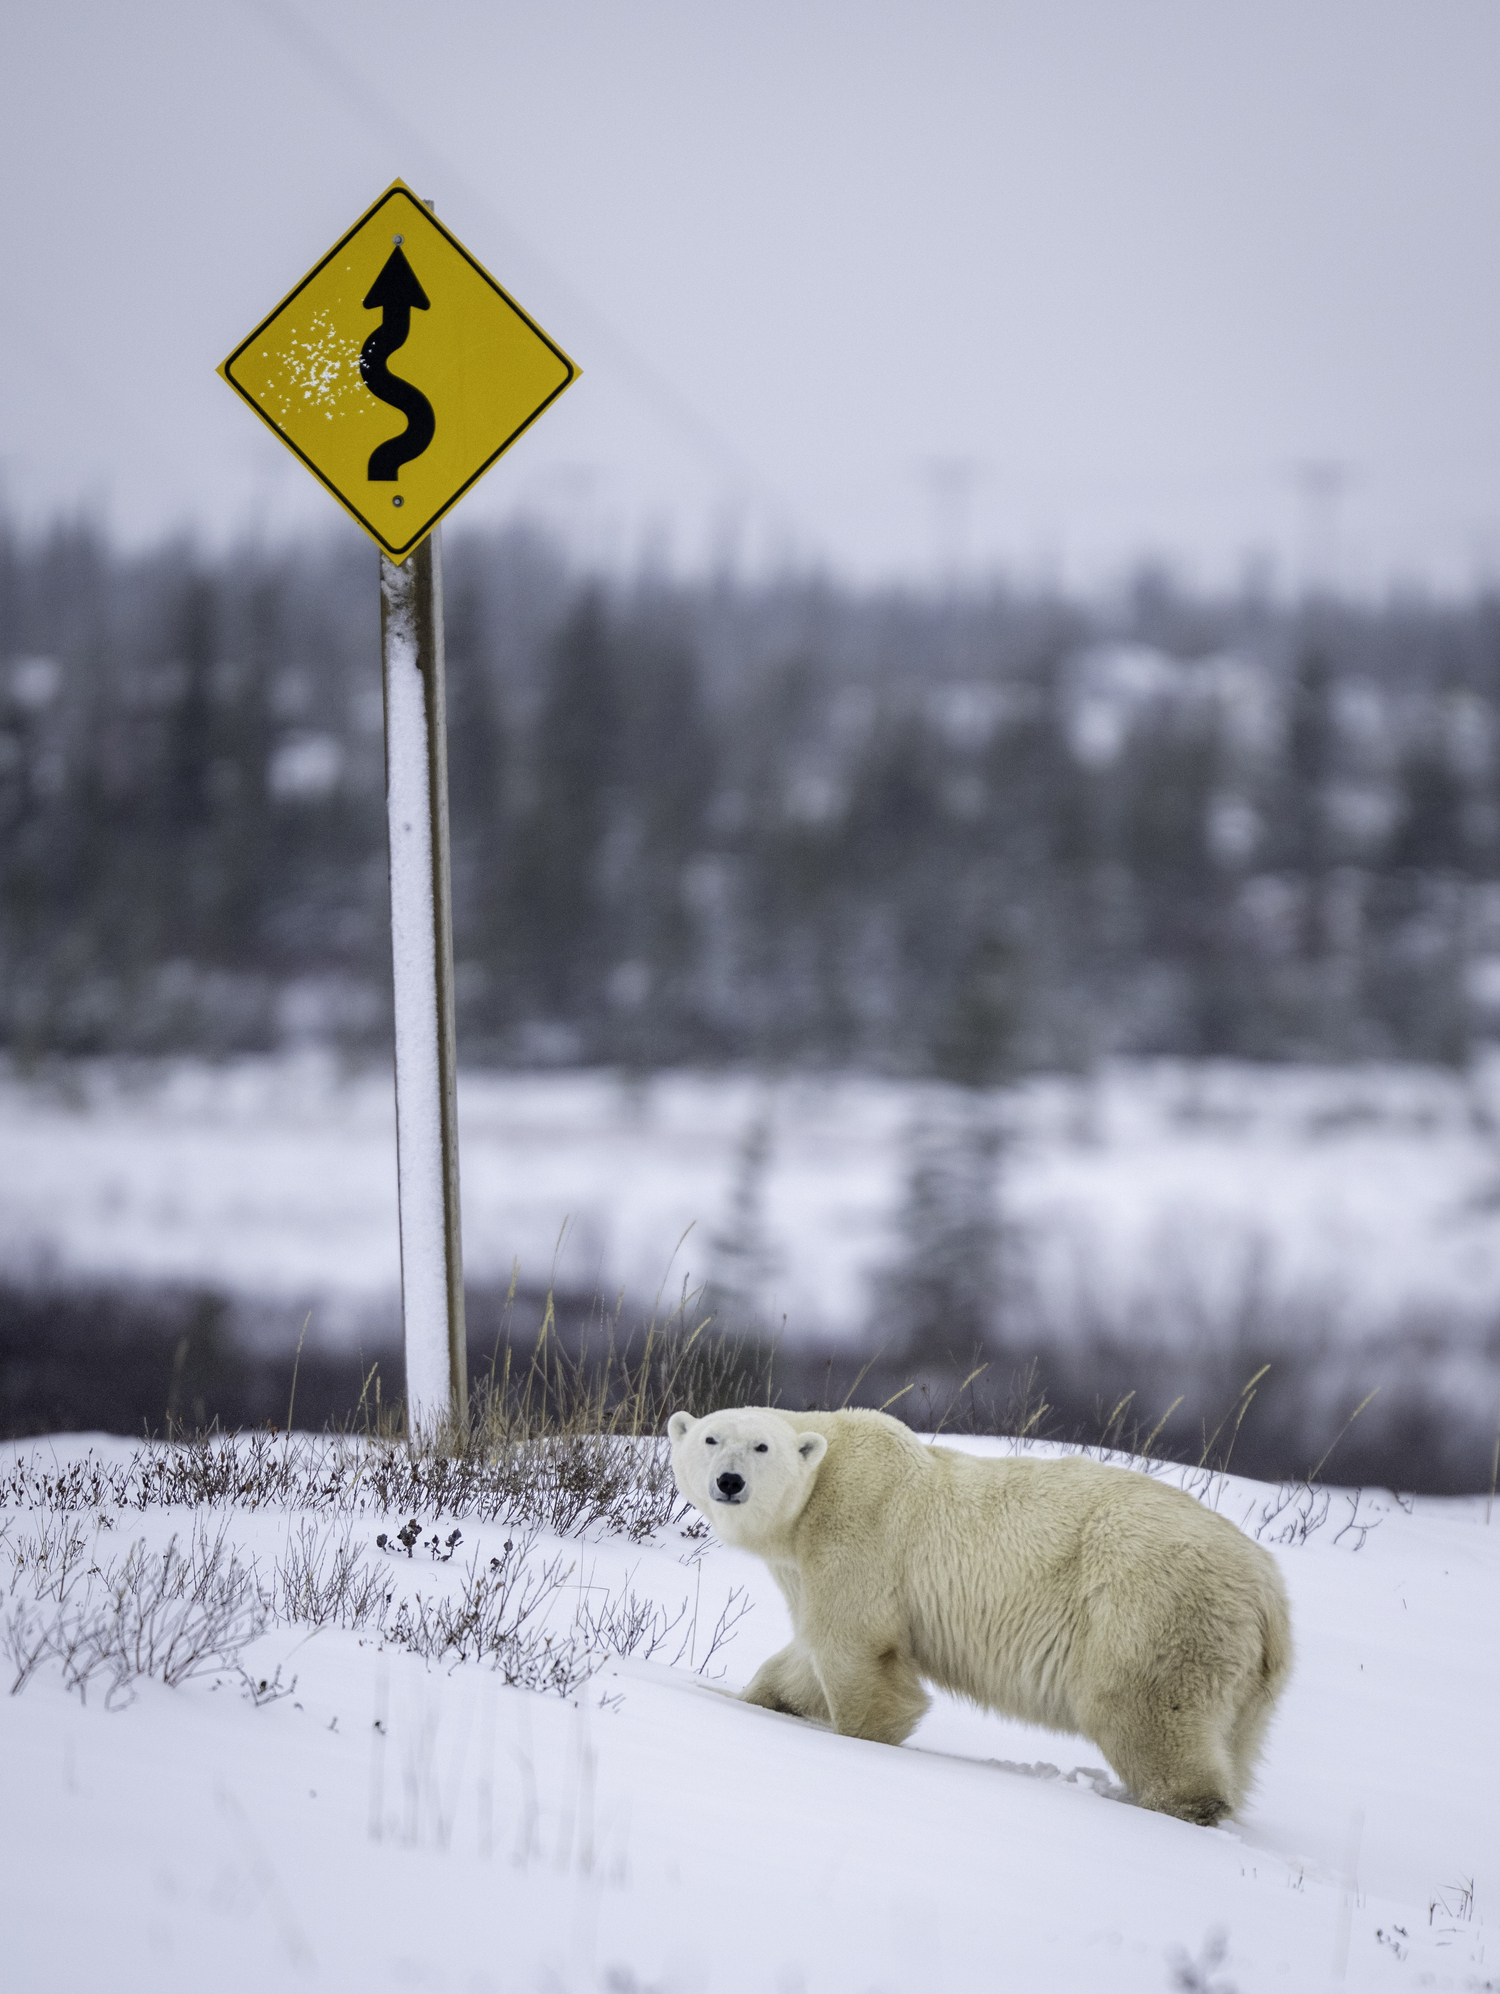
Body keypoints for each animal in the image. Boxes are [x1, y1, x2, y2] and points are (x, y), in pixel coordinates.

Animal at [666, 1403, 1292, 1826]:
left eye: (761, 1448)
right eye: (711, 1438)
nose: (729, 1481)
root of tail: (1269, 1594)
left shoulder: (858, 1532)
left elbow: (856, 1647)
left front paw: (866, 1738)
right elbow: (803, 1659)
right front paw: (755, 1698)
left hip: (1152, 1611)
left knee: (1143, 1709)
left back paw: (1181, 1805)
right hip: (1241, 1676)